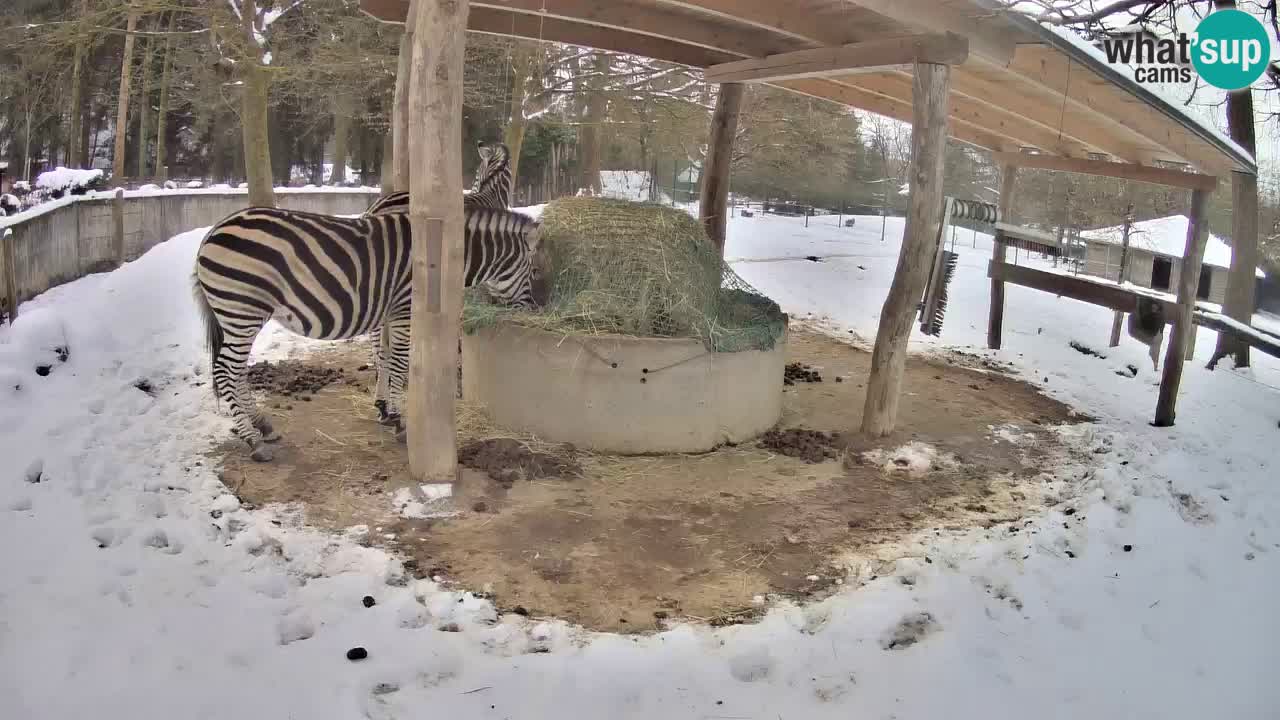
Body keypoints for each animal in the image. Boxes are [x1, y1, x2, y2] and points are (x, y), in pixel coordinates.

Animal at [192, 204, 543, 462]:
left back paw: (262, 426)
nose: (531, 309)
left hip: (240, 315)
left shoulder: (387, 314)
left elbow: (384, 357)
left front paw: (385, 410)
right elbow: (400, 364)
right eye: (535, 271)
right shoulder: (404, 309)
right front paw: (400, 422)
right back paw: (253, 440)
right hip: (243, 309)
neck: (442, 258)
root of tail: (213, 231)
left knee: (237, 372)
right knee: (225, 371)